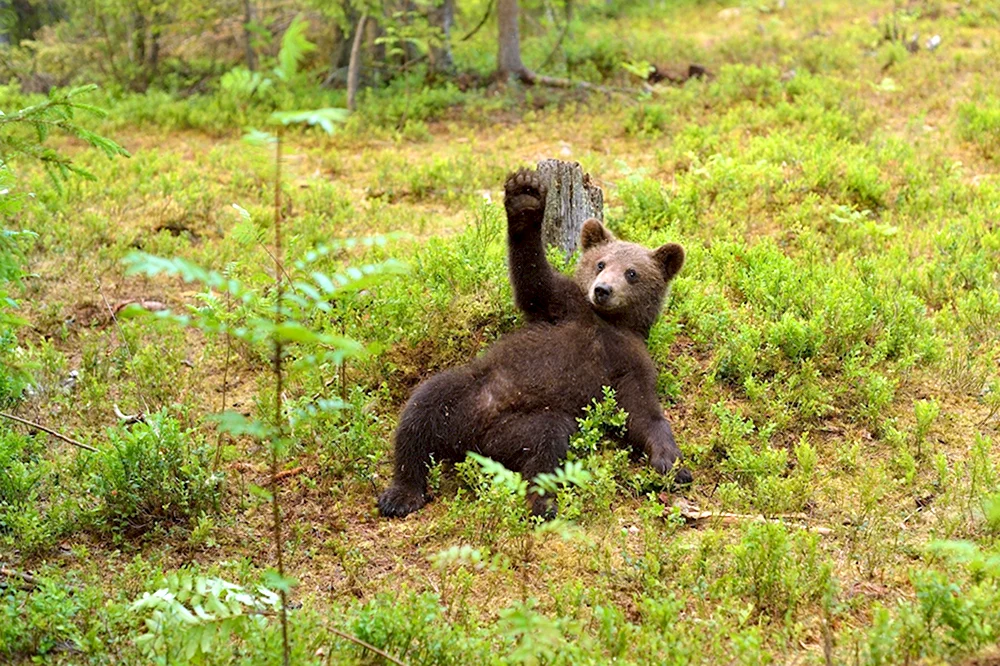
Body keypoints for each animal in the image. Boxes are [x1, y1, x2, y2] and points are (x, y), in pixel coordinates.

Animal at [376, 167, 688, 520]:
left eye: (632, 273)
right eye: (600, 263)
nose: (603, 290)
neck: (608, 323)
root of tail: (467, 440)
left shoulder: (630, 363)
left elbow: (642, 413)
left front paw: (672, 463)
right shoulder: (564, 307)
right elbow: (534, 281)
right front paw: (525, 200)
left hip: (516, 429)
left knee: (545, 443)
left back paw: (541, 501)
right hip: (465, 390)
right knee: (419, 412)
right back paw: (401, 494)